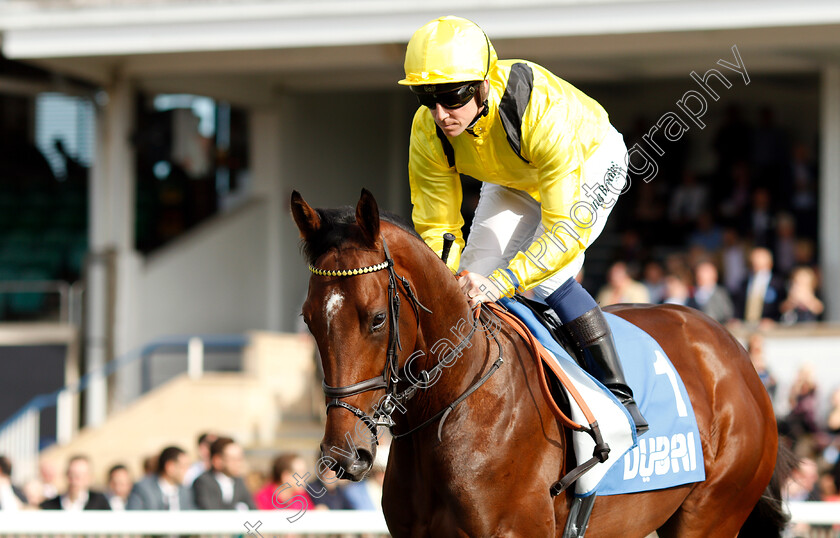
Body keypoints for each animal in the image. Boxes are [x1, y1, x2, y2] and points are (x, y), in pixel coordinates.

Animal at [292, 186, 792, 532]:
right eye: (309, 319)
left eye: (377, 319)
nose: (344, 453)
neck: (455, 401)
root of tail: (733, 351)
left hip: (713, 511)